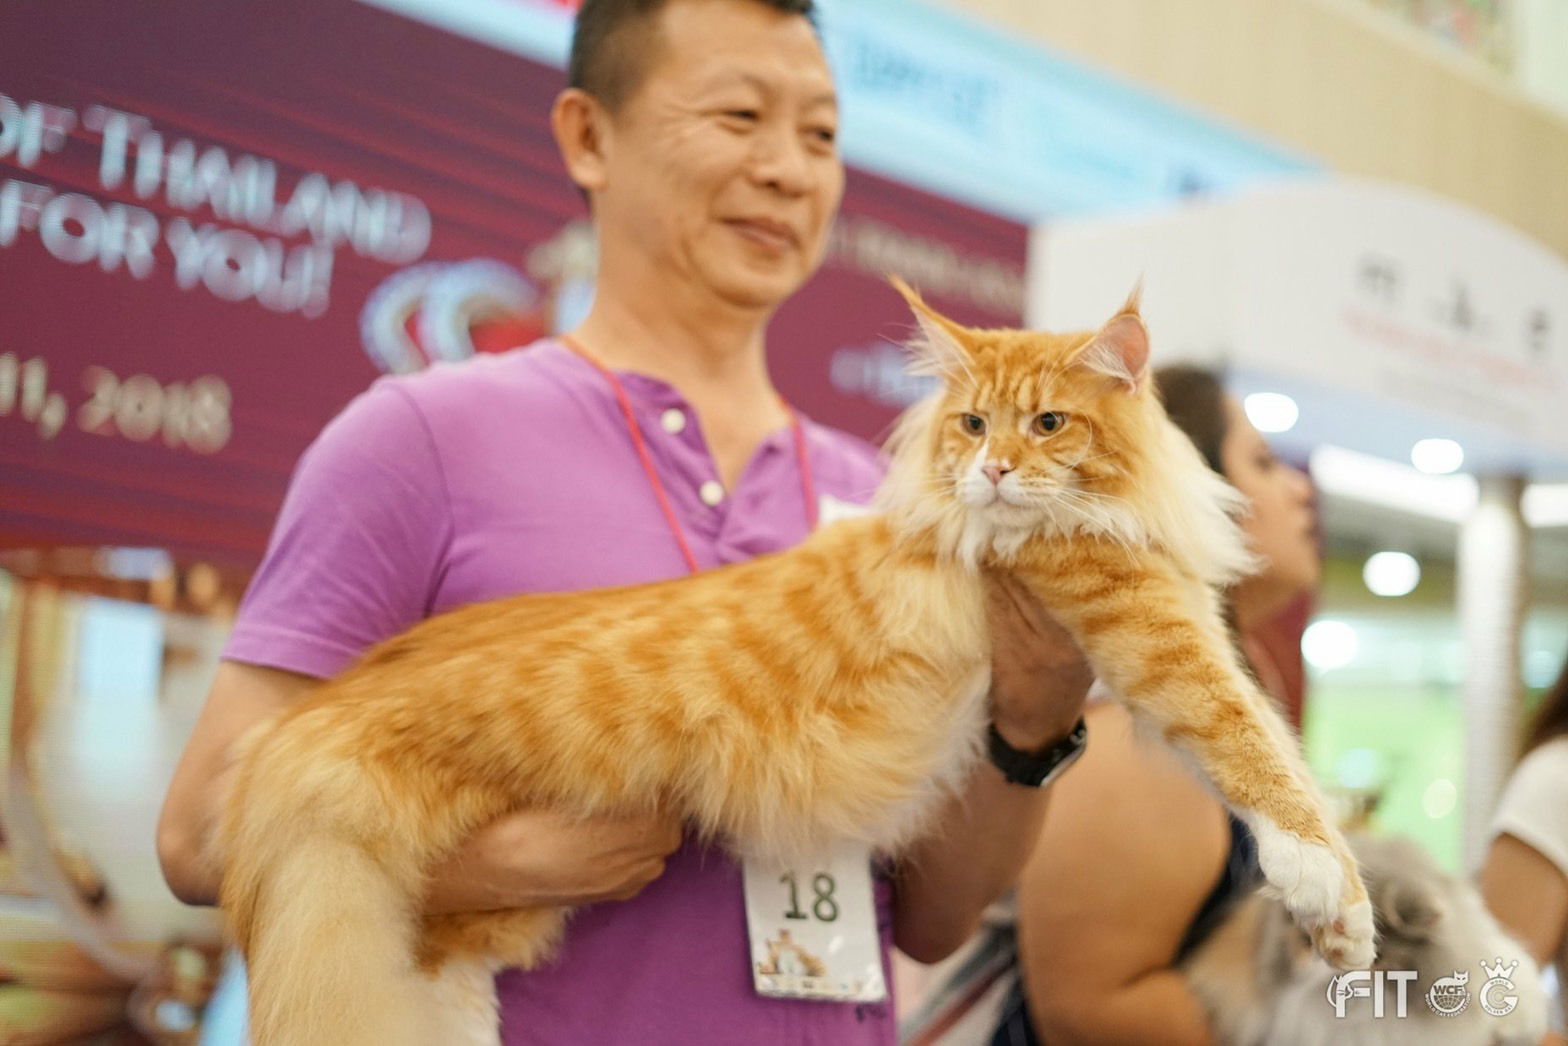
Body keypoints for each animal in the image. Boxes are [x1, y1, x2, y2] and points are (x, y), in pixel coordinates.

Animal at [217, 280, 1373, 1046]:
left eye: (1049, 422)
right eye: (971, 423)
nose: (996, 471)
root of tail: (313, 720)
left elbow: (1278, 751)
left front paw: (1330, 927)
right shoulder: (1146, 627)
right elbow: (1250, 748)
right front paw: (1333, 893)